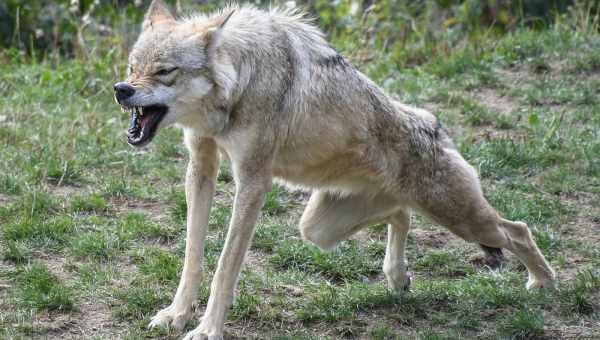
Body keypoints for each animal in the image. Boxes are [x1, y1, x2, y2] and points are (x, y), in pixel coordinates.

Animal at [113, 1, 556, 338]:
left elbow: (225, 267)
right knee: (401, 214)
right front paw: (176, 315)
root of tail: (435, 124)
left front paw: (206, 330)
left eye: (164, 71)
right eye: (132, 66)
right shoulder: (200, 167)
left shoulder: (253, 181)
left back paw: (543, 283)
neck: (239, 82)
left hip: (462, 220)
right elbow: (192, 255)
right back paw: (398, 277)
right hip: (318, 229)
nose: (121, 90)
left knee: (517, 229)